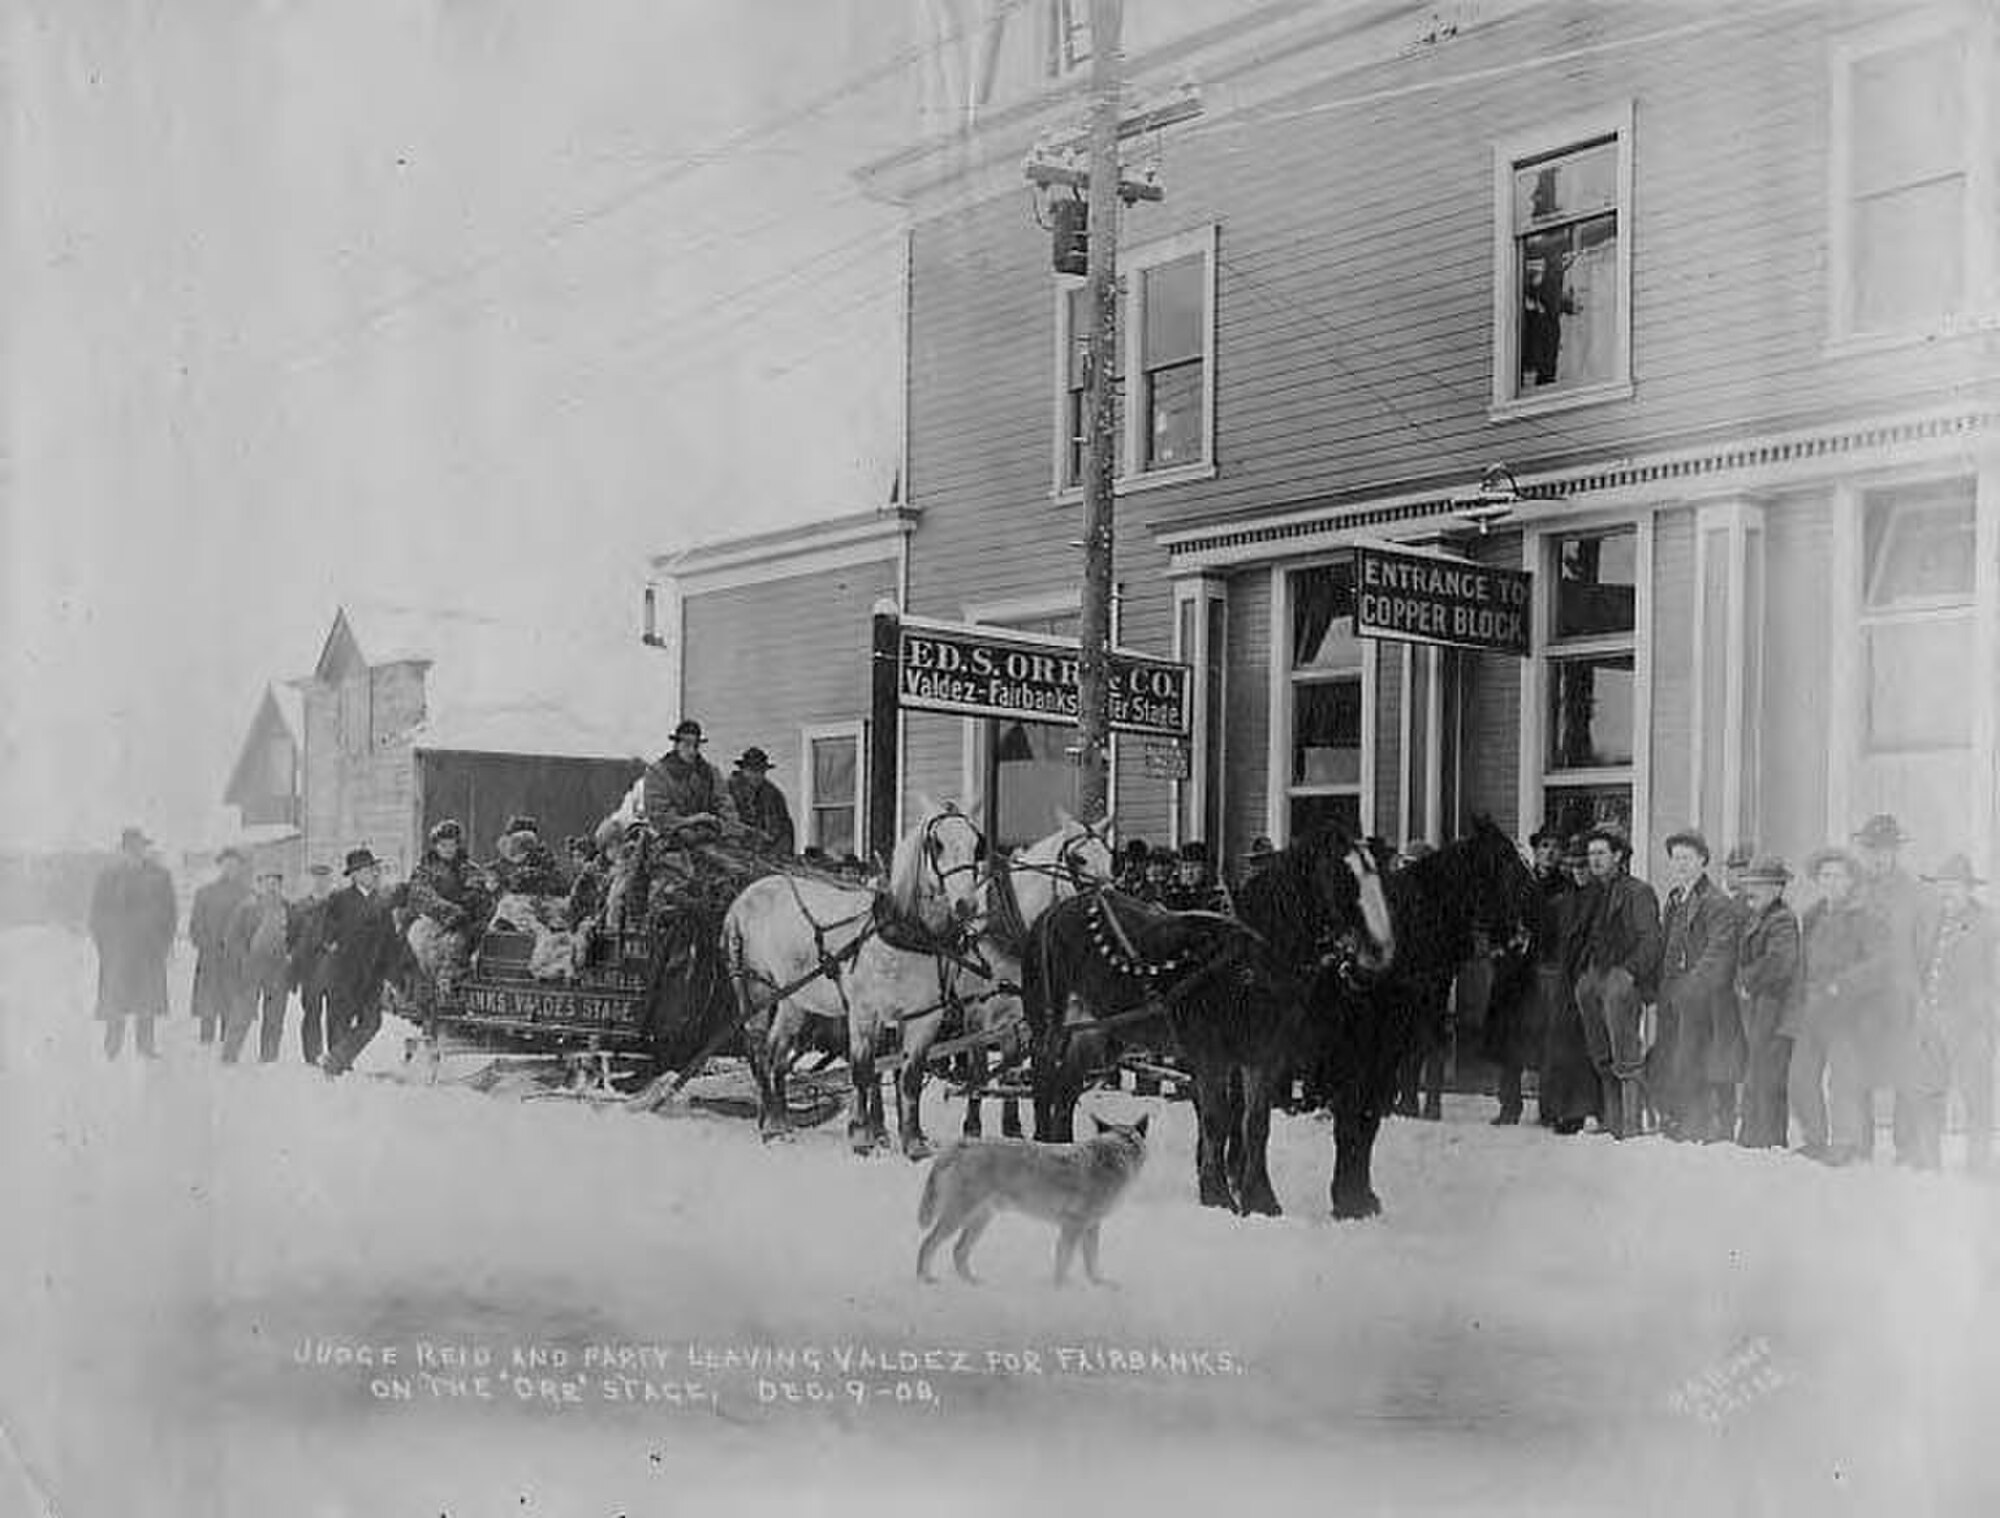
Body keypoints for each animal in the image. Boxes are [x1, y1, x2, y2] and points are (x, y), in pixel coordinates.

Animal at [721, 800, 988, 1154]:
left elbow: (909, 1077)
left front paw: (913, 1143)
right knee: (760, 1051)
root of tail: (745, 896)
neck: (907, 935)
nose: (966, 904)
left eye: (977, 844)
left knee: (777, 1053)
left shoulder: (925, 1017)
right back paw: (770, 1127)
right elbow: (863, 1071)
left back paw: (780, 1122)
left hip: (794, 999)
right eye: (936, 844)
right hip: (757, 990)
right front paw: (862, 1137)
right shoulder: (864, 1012)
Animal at [916, 1115, 1149, 1286]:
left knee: (958, 1251)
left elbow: (1091, 1261)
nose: (1127, 1154)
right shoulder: (1074, 1225)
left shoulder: (1091, 1226)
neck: (1110, 1157)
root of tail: (962, 1144)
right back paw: (925, 1280)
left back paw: (973, 1282)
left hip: (980, 1219)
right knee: (928, 1243)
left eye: (1133, 1141)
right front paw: (1061, 1287)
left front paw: (1097, 1284)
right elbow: (1064, 1261)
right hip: (959, 1216)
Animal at [1020, 827, 1395, 1215]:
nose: (1378, 952)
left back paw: (1067, 1156)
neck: (1245, 961)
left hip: (1098, 1034)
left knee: (1066, 1088)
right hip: (1049, 1025)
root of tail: (1052, 913)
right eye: (1341, 877)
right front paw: (1217, 1196)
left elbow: (1255, 1124)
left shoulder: (1265, 1055)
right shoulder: (1211, 1057)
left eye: (1381, 877)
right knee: (1044, 1083)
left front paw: (1260, 1200)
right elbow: (1217, 1119)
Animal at [1283, 817, 1540, 1219]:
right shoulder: (1360, 1049)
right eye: (1508, 864)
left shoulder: (1391, 1047)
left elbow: (1368, 1118)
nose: (1523, 934)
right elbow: (1355, 1116)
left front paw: (1358, 1196)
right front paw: (1349, 1201)